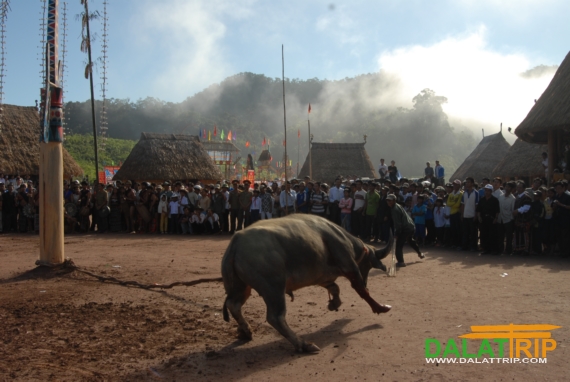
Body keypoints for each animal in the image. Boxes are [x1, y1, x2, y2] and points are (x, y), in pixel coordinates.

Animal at [221, 213, 390, 354]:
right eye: (368, 265)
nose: (367, 280)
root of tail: (236, 242)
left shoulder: (323, 277)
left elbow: (335, 288)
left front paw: (334, 304)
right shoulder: (350, 266)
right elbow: (361, 290)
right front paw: (380, 307)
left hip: (242, 287)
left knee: (233, 304)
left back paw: (245, 331)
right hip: (274, 288)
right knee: (275, 317)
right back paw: (304, 345)